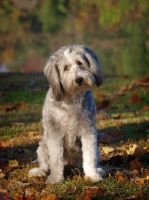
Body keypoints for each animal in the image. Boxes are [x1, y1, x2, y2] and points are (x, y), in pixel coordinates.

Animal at [28, 44, 105, 184]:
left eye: (80, 63)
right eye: (65, 68)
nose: (79, 79)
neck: (72, 101)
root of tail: (70, 166)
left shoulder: (88, 131)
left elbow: (89, 156)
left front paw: (92, 175)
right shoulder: (55, 133)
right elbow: (56, 160)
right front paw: (55, 179)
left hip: (97, 149)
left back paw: (98, 170)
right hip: (42, 147)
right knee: (45, 166)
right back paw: (39, 171)